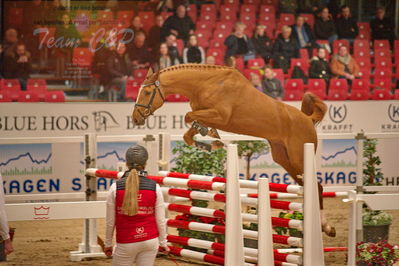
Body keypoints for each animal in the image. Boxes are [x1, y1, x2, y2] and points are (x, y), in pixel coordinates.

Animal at [131, 64, 334, 237]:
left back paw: (325, 227)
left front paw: (211, 135)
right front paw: (211, 141)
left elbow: (190, 118)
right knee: (307, 184)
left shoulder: (220, 116)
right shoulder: (205, 114)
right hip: (283, 158)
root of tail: (308, 119)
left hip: (298, 157)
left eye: (147, 92)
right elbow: (189, 132)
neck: (205, 84)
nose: (135, 119)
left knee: (317, 186)